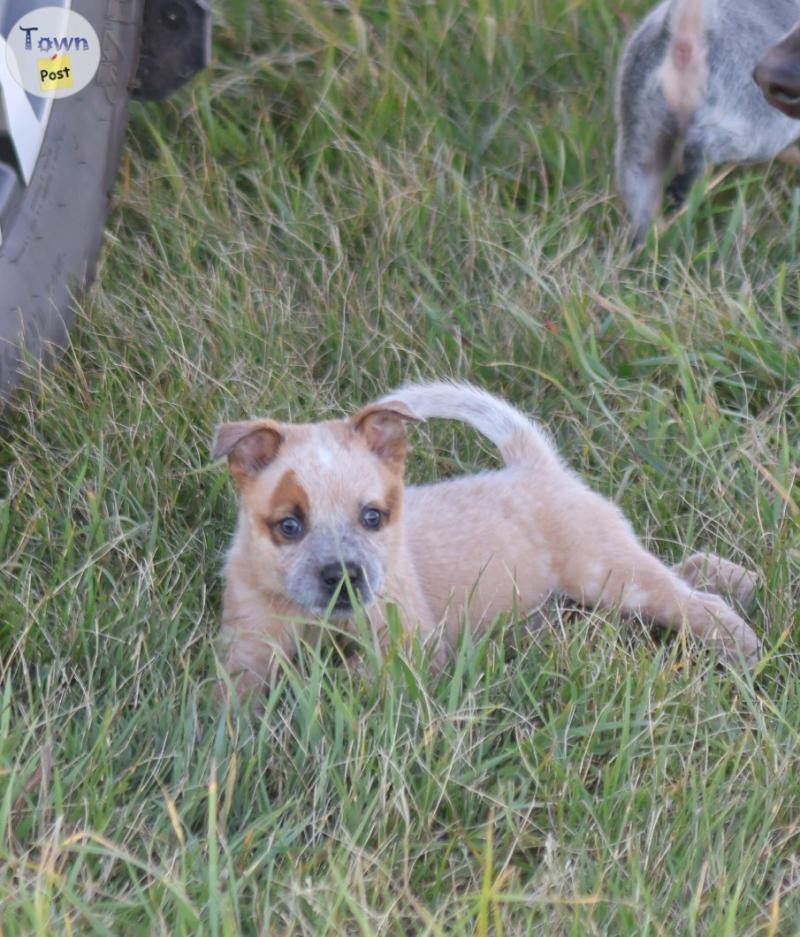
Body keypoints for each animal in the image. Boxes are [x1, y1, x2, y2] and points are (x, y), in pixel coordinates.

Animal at [212, 382, 764, 696]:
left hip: (607, 572)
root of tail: (536, 466)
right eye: (289, 525)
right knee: (686, 568)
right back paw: (745, 582)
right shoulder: (248, 646)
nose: (344, 575)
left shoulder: (409, 642)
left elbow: (358, 676)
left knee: (692, 599)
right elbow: (235, 699)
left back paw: (744, 644)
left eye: (372, 516)